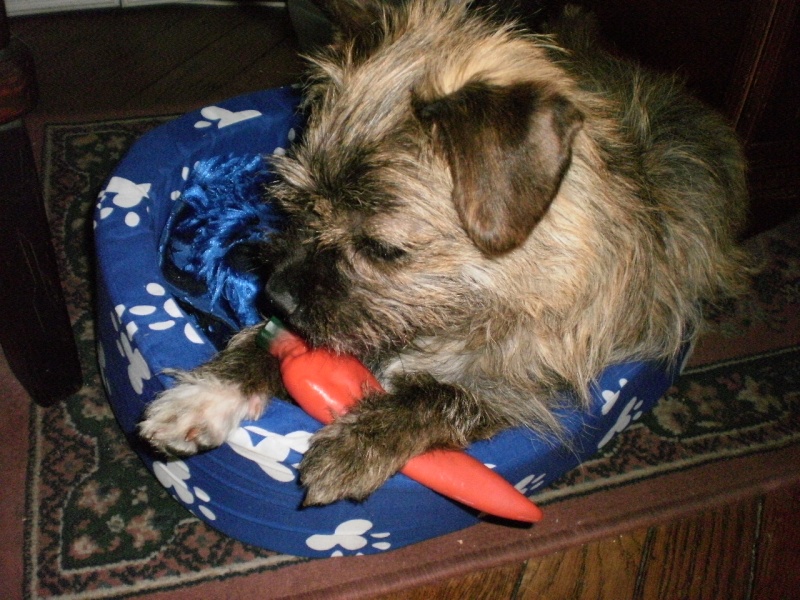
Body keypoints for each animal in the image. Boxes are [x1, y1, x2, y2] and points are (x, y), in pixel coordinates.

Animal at [142, 0, 752, 506]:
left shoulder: (528, 377)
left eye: (383, 248)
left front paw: (361, 441)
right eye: (295, 203)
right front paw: (207, 393)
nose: (278, 298)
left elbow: (445, 394)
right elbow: (268, 345)